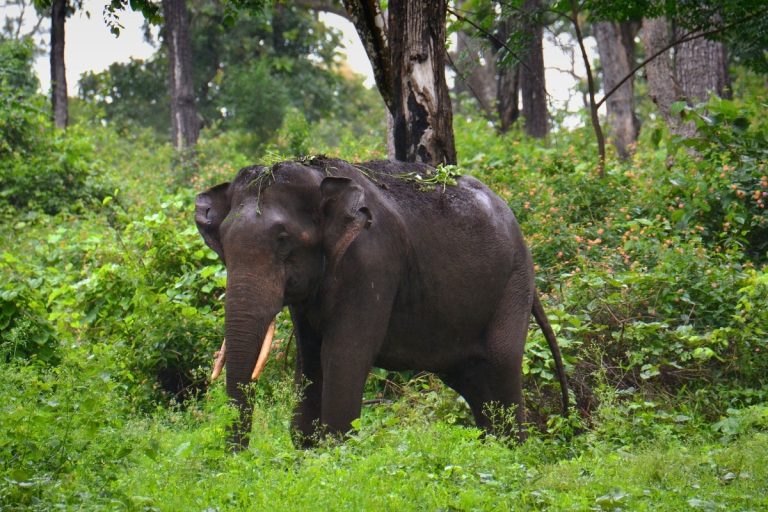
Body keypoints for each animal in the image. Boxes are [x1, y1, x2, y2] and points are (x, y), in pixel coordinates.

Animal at [195, 156, 568, 449]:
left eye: (283, 239)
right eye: (223, 243)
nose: (238, 456)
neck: (317, 177)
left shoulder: (371, 261)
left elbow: (345, 355)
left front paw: (333, 455)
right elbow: (310, 357)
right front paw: (306, 454)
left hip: (513, 284)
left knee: (501, 367)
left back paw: (513, 454)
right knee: (475, 381)